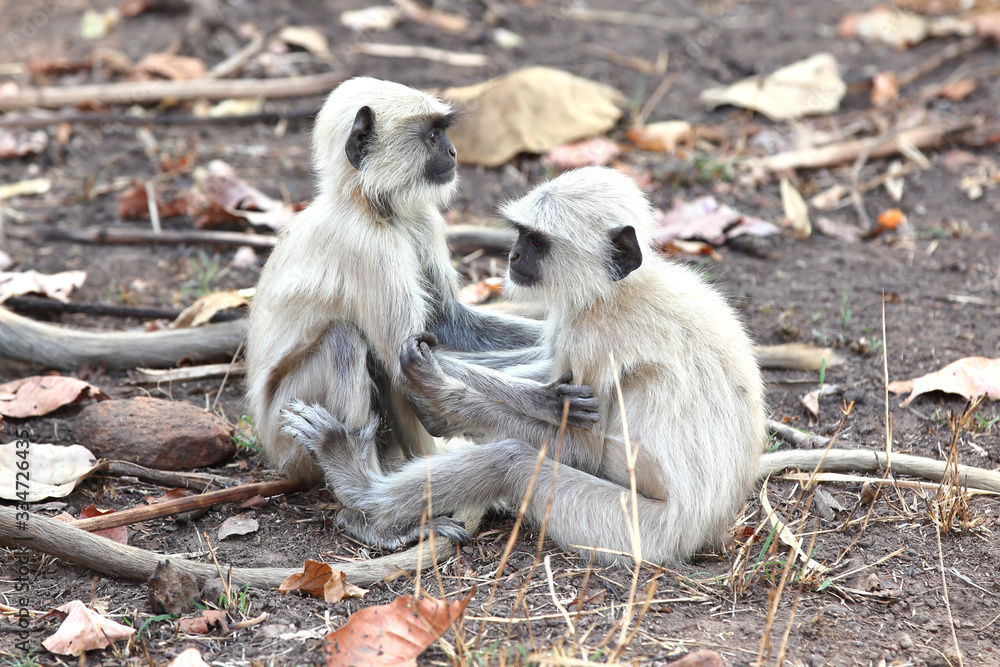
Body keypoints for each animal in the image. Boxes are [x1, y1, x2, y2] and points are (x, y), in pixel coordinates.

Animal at [280, 166, 766, 564]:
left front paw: (441, 397)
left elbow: (581, 449)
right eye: (520, 235)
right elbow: (545, 366)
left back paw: (357, 484)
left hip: (634, 531)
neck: (620, 289)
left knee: (511, 460)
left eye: (536, 241)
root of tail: (709, 531)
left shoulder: (594, 336)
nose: (512, 256)